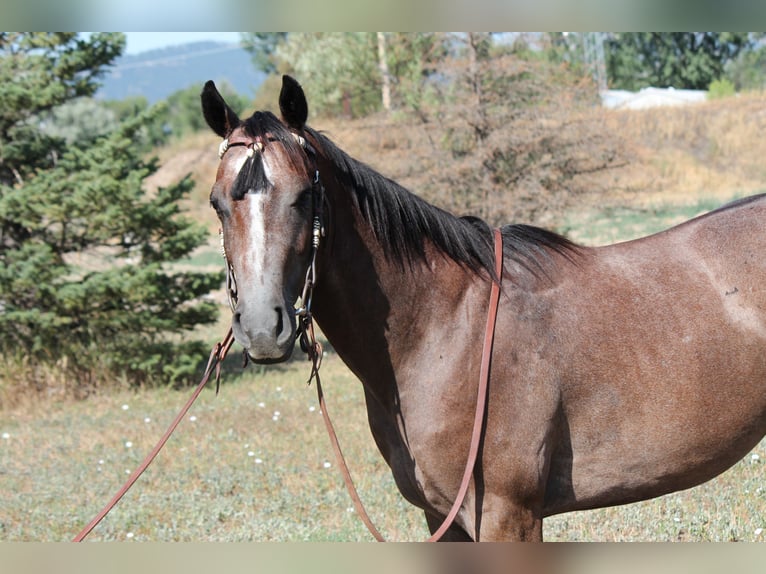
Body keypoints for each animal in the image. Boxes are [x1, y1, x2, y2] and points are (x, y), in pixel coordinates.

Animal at [200, 75, 766, 541]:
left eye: (302, 197)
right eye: (217, 203)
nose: (261, 329)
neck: (445, 329)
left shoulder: (506, 515)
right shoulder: (441, 518)